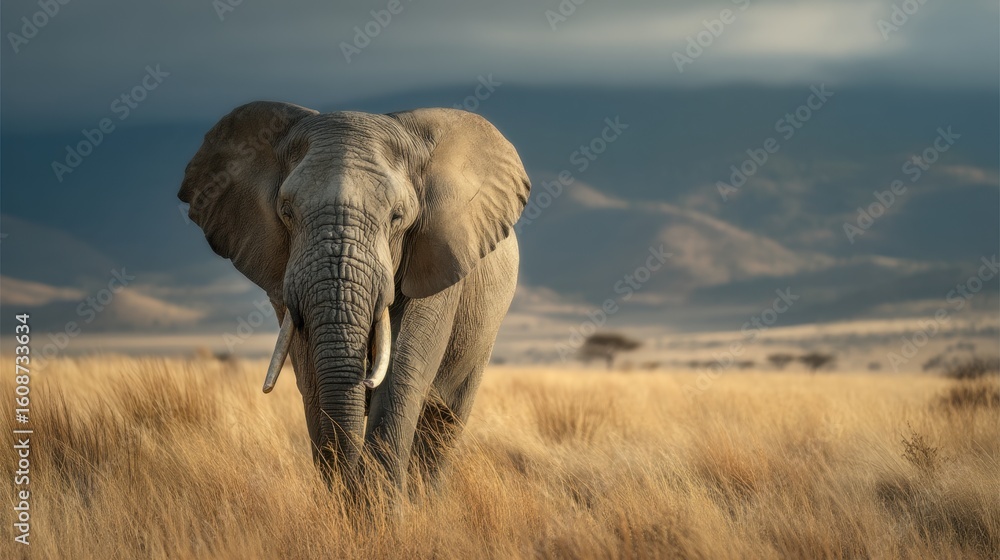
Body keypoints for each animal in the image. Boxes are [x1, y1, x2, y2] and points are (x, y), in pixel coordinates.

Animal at [178, 101, 529, 492]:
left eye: (398, 216)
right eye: (286, 213)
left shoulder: (438, 260)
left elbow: (400, 374)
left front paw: (379, 507)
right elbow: (312, 374)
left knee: (445, 420)